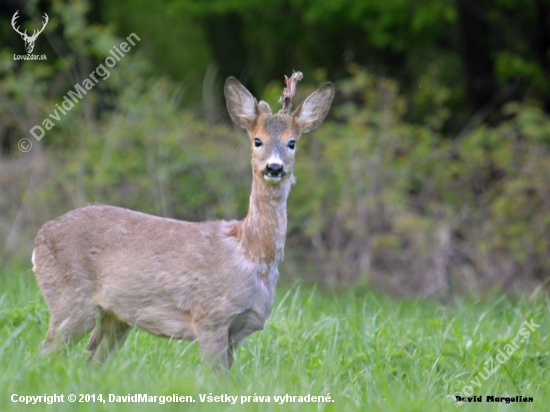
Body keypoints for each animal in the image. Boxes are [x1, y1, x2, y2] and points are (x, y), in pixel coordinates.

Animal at [33, 73, 336, 370]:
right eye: (257, 140)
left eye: (292, 142)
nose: (274, 167)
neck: (250, 252)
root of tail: (39, 239)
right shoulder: (211, 315)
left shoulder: (239, 329)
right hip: (70, 298)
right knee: (45, 351)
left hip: (115, 315)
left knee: (92, 359)